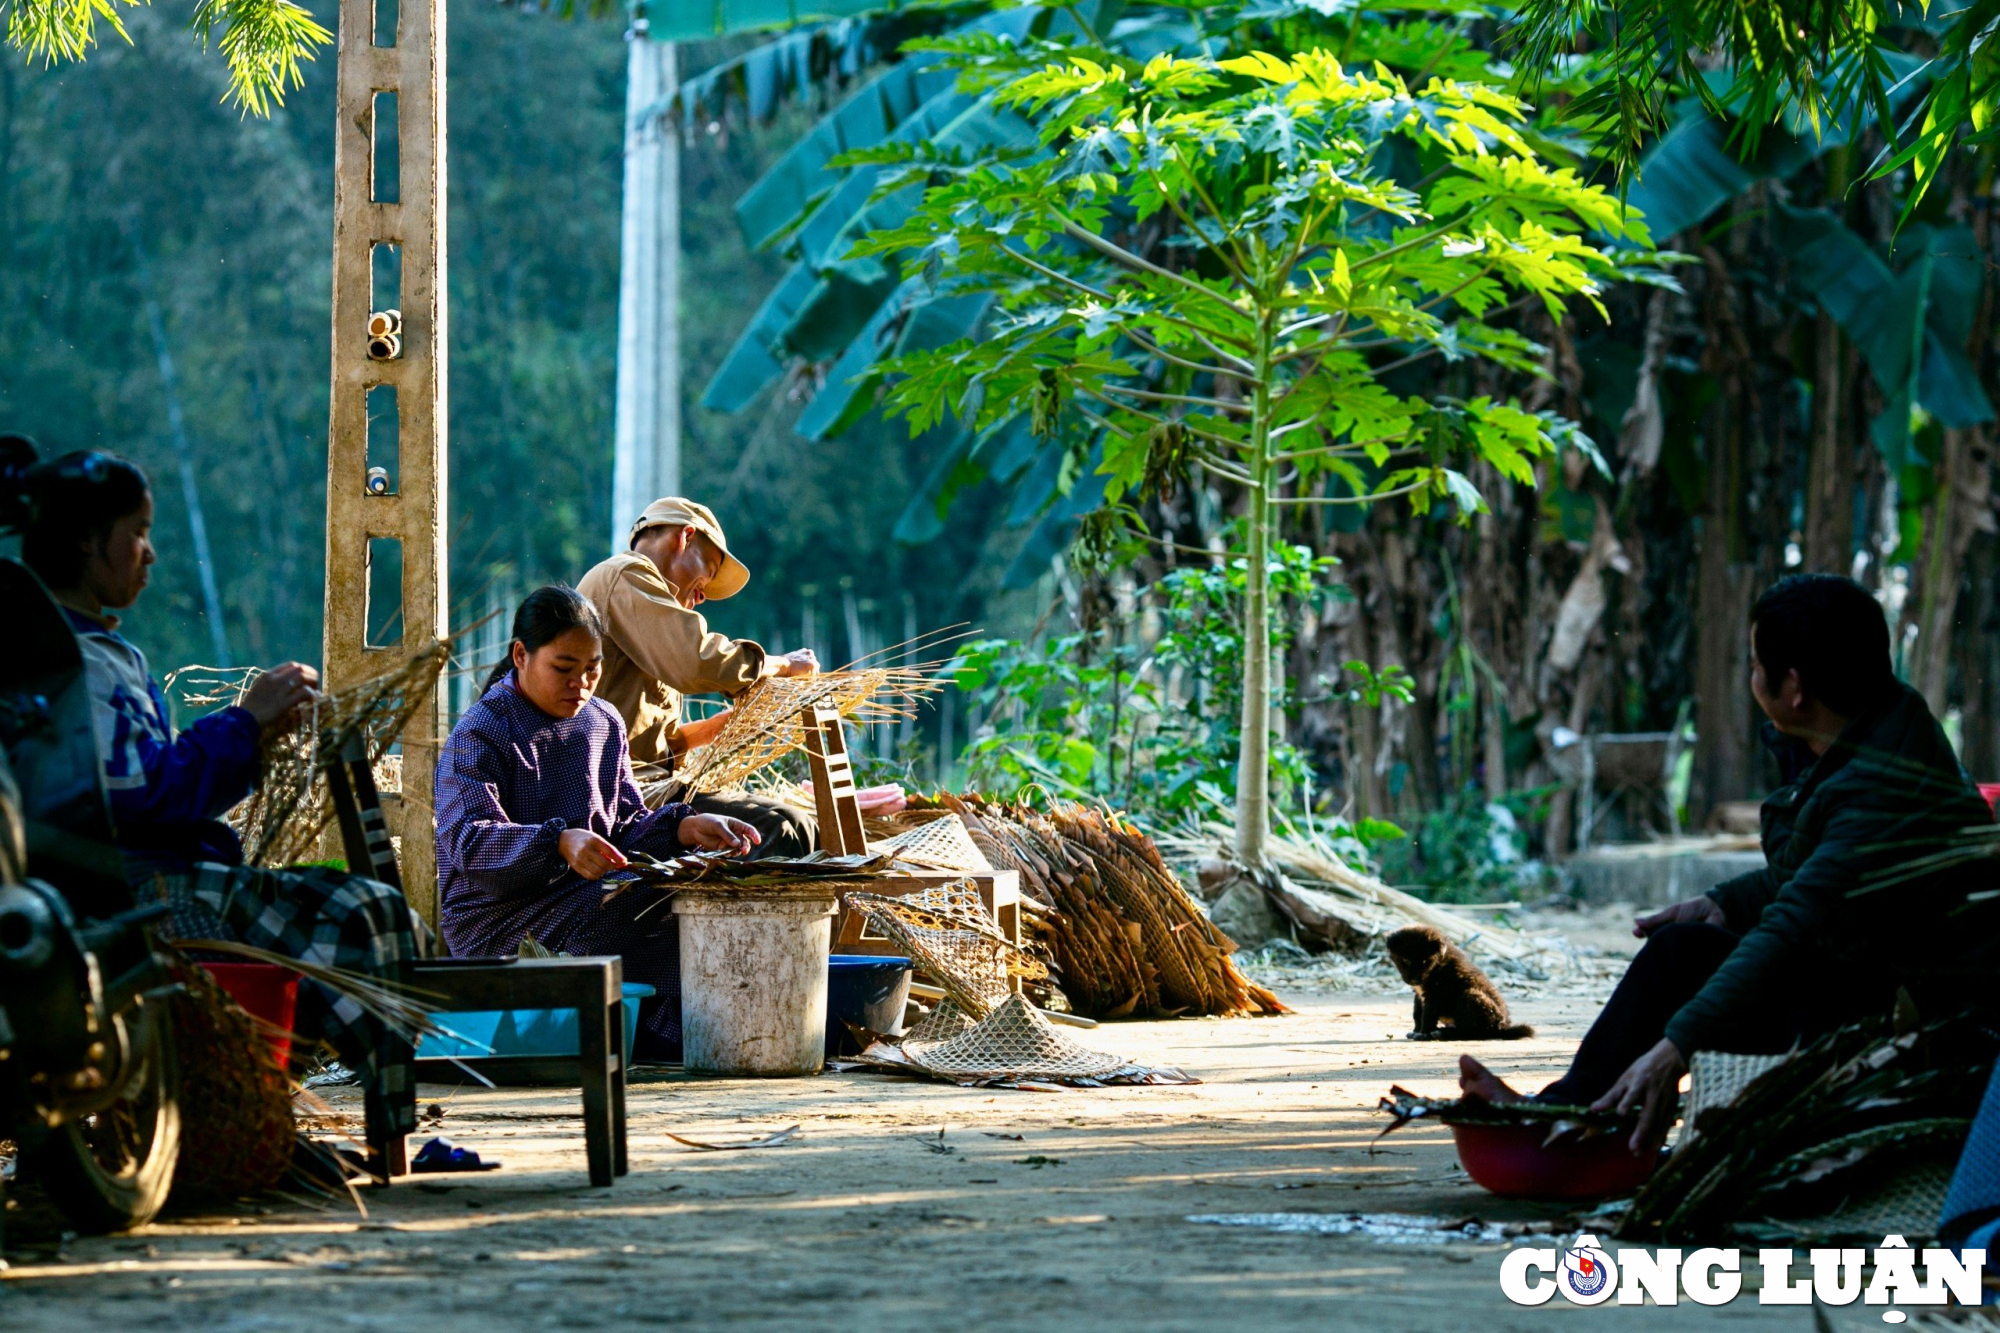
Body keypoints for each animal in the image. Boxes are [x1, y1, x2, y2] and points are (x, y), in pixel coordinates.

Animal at [1384, 924, 1536, 1040]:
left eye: (1425, 961)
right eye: (1406, 960)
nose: (1415, 980)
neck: (1437, 965)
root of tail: (1502, 1027)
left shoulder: (1436, 994)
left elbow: (1427, 1015)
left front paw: (1423, 1034)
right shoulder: (1419, 994)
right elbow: (1417, 1013)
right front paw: (1416, 1031)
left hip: (1471, 996)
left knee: (1471, 1032)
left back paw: (1442, 1033)